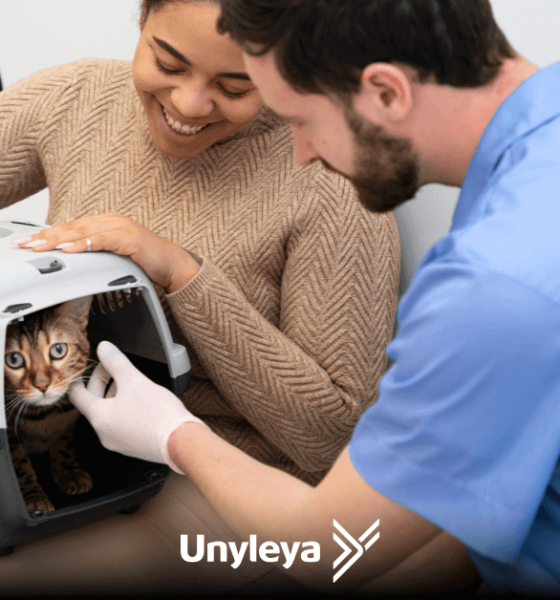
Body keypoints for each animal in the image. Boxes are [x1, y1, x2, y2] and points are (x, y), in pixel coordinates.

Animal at [4, 296, 94, 510]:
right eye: (14, 359)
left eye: (58, 350)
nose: (42, 384)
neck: (45, 414)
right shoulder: (9, 436)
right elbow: (19, 464)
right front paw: (34, 497)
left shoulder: (68, 420)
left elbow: (64, 443)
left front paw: (70, 472)